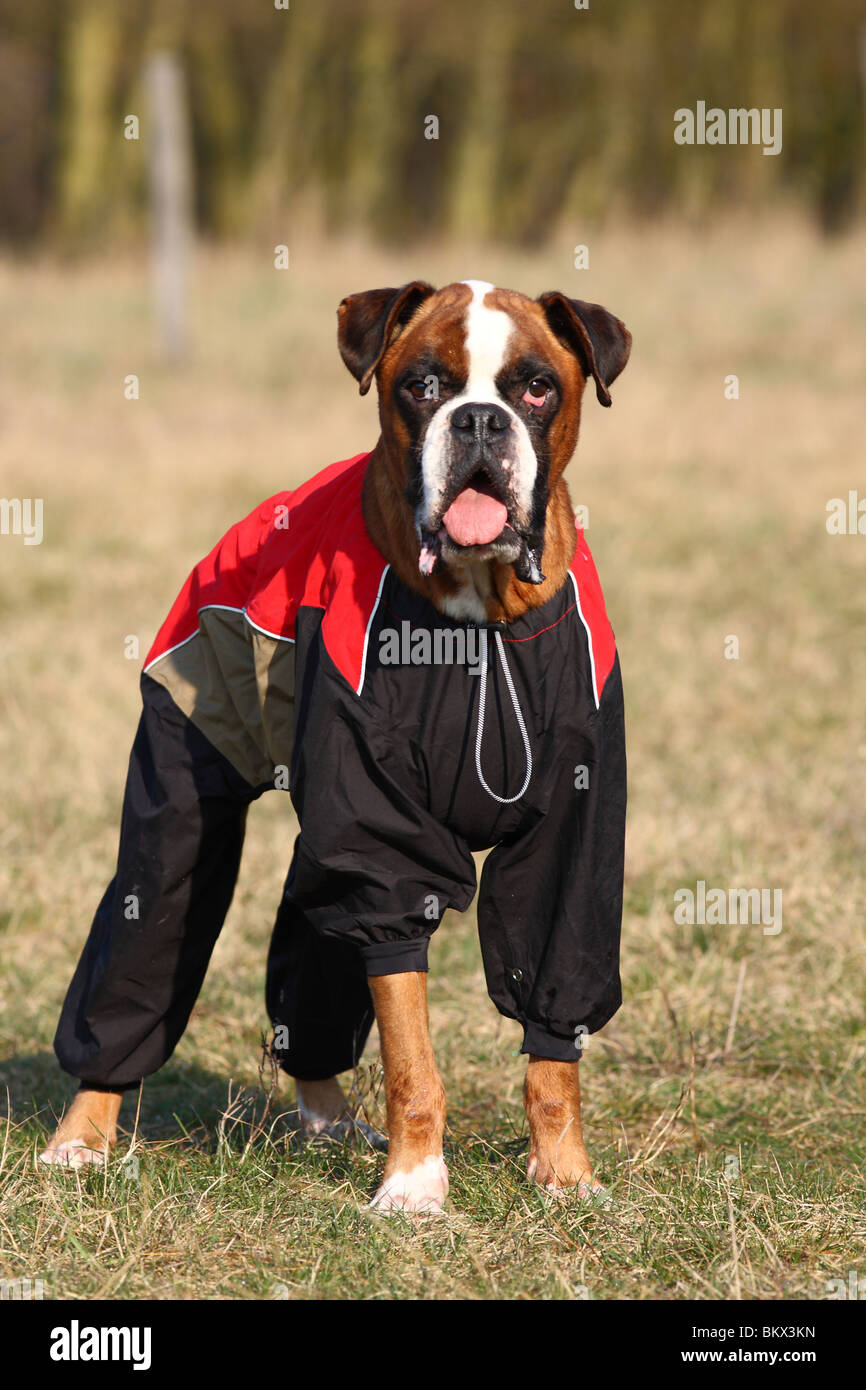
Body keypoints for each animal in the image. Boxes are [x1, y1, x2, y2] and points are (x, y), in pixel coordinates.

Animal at [42, 282, 631, 1217]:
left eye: (537, 387)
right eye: (423, 385)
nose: (478, 421)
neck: (477, 617)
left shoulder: (568, 854)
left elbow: (552, 1037)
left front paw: (565, 1174)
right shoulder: (383, 852)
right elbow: (410, 1052)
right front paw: (415, 1187)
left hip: (321, 838)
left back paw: (324, 1119)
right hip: (184, 808)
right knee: (139, 948)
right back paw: (80, 1135)